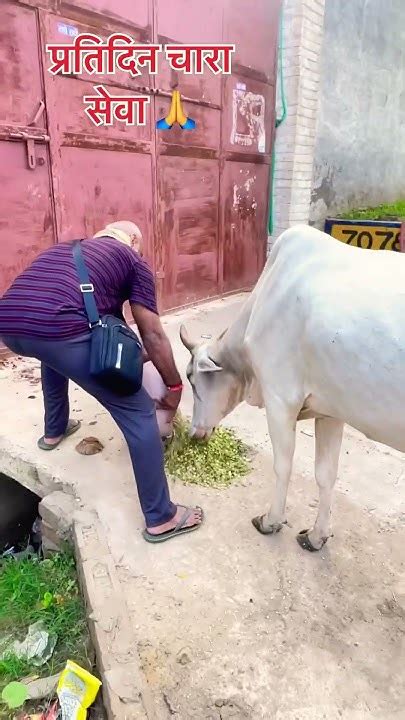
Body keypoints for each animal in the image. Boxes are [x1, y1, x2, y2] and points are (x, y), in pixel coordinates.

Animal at [180, 225, 405, 552]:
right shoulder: (330, 412)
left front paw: (270, 520)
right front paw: (316, 535)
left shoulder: (280, 399)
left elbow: (283, 465)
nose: (194, 433)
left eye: (192, 379)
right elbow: (326, 474)